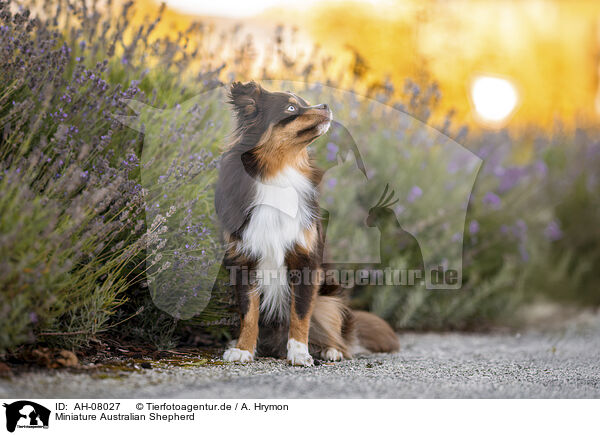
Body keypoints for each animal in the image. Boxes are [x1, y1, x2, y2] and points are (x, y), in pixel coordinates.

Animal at [216, 82, 398, 368]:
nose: (325, 105)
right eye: (291, 108)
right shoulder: (244, 260)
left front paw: (300, 353)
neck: (279, 172)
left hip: (329, 300)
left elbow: (300, 314)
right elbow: (249, 313)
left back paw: (330, 350)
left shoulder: (305, 261)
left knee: (338, 336)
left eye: (304, 102)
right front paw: (243, 349)